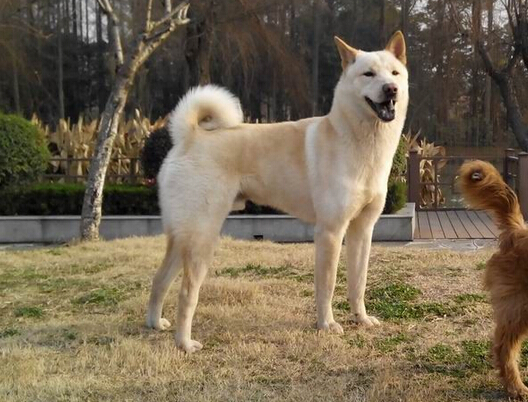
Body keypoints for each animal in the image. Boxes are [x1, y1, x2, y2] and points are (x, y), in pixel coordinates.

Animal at [146, 32, 409, 353]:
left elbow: (358, 283)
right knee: (186, 294)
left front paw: (361, 319)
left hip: (182, 237)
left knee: (159, 280)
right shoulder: (330, 232)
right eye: (368, 74)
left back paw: (155, 324)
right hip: (202, 239)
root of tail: (190, 136)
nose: (391, 89)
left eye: (394, 73)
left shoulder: (362, 230)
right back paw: (185, 343)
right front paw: (327, 324)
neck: (361, 143)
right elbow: (327, 285)